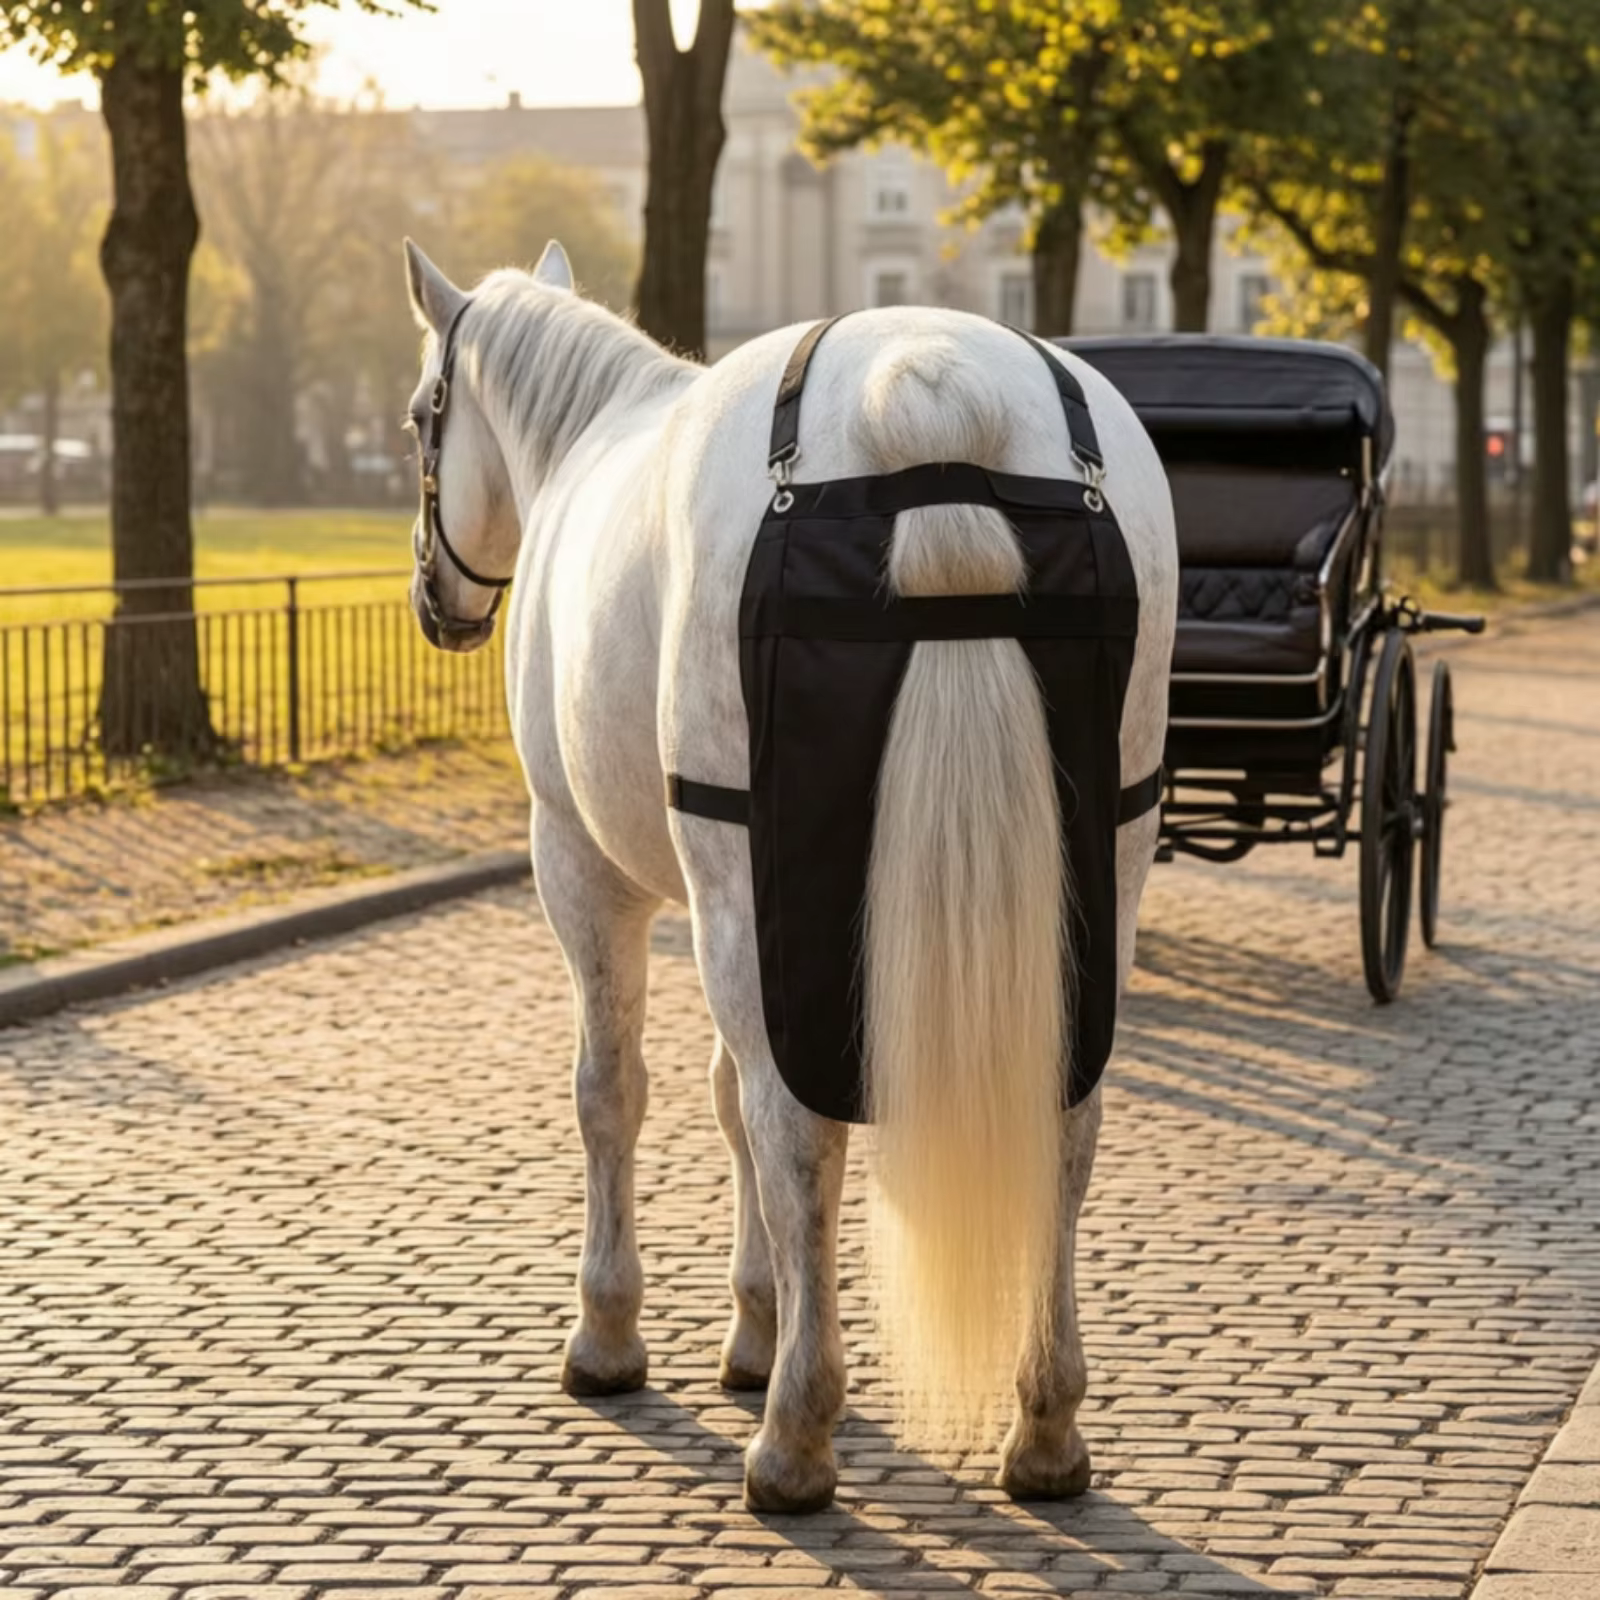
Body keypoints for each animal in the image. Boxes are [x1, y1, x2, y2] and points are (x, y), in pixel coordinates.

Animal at [399, 236, 1177, 1513]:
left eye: (424, 412)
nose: (434, 598)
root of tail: (933, 377)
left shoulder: (586, 870)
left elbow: (617, 1093)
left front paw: (611, 1328)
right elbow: (723, 1100)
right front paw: (753, 1320)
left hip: (730, 887)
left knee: (798, 1126)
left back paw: (796, 1435)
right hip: (1100, 867)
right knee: (1063, 1120)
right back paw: (1045, 1422)